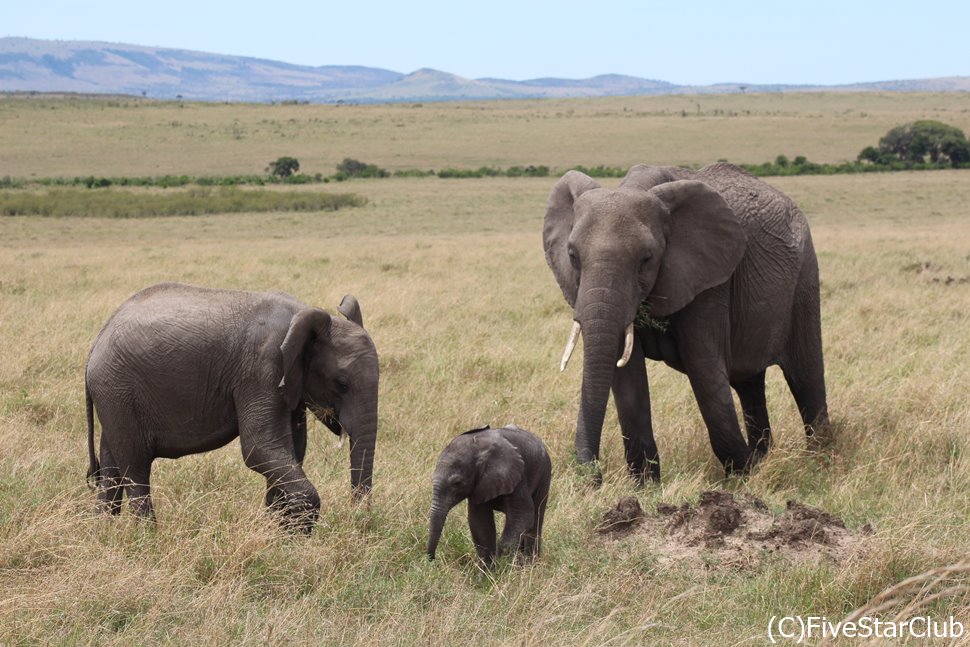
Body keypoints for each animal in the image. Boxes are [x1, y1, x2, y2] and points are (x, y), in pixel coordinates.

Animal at [85, 284, 378, 532]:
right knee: (135, 464)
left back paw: (105, 531)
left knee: (111, 463)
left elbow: (292, 450)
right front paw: (295, 537)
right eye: (342, 384)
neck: (301, 314)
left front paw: (275, 531)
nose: (357, 520)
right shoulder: (262, 368)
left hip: (113, 394)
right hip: (117, 389)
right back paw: (147, 536)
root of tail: (98, 339)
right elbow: (259, 448)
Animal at [426, 428, 548, 568]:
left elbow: (523, 514)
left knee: (537, 516)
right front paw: (488, 571)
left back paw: (530, 564)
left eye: (457, 483)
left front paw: (503, 562)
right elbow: (480, 523)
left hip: (544, 473)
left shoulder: (517, 475)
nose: (432, 559)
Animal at [540, 165, 828, 484]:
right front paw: (645, 486)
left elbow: (703, 367)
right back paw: (765, 457)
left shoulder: (709, 280)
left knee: (805, 378)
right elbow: (626, 376)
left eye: (646, 259)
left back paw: (820, 463)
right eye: (572, 256)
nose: (594, 478)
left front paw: (742, 476)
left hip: (805, 276)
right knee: (749, 384)